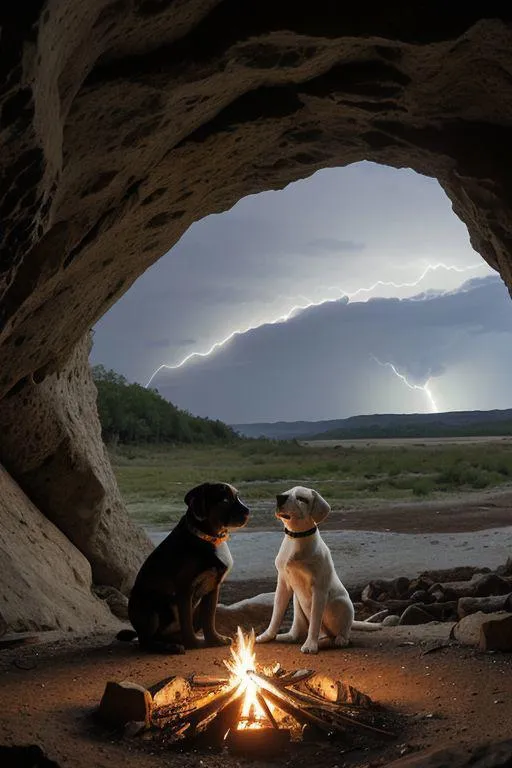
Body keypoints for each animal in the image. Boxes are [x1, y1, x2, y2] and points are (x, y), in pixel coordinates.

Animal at [118, 484, 250, 652]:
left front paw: (214, 640)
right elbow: (186, 623)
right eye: (224, 501)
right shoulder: (185, 588)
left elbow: (209, 620)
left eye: (238, 497)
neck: (209, 538)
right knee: (145, 642)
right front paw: (194, 644)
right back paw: (170, 647)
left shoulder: (212, 588)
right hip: (151, 608)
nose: (248, 511)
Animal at [256, 486, 380, 656]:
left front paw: (310, 645)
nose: (280, 498)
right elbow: (276, 614)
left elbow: (315, 621)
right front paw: (267, 636)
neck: (296, 537)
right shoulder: (283, 583)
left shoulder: (319, 590)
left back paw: (339, 639)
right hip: (298, 602)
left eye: (302, 499)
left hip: (342, 603)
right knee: (299, 626)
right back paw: (291, 636)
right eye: (286, 493)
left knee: (342, 630)